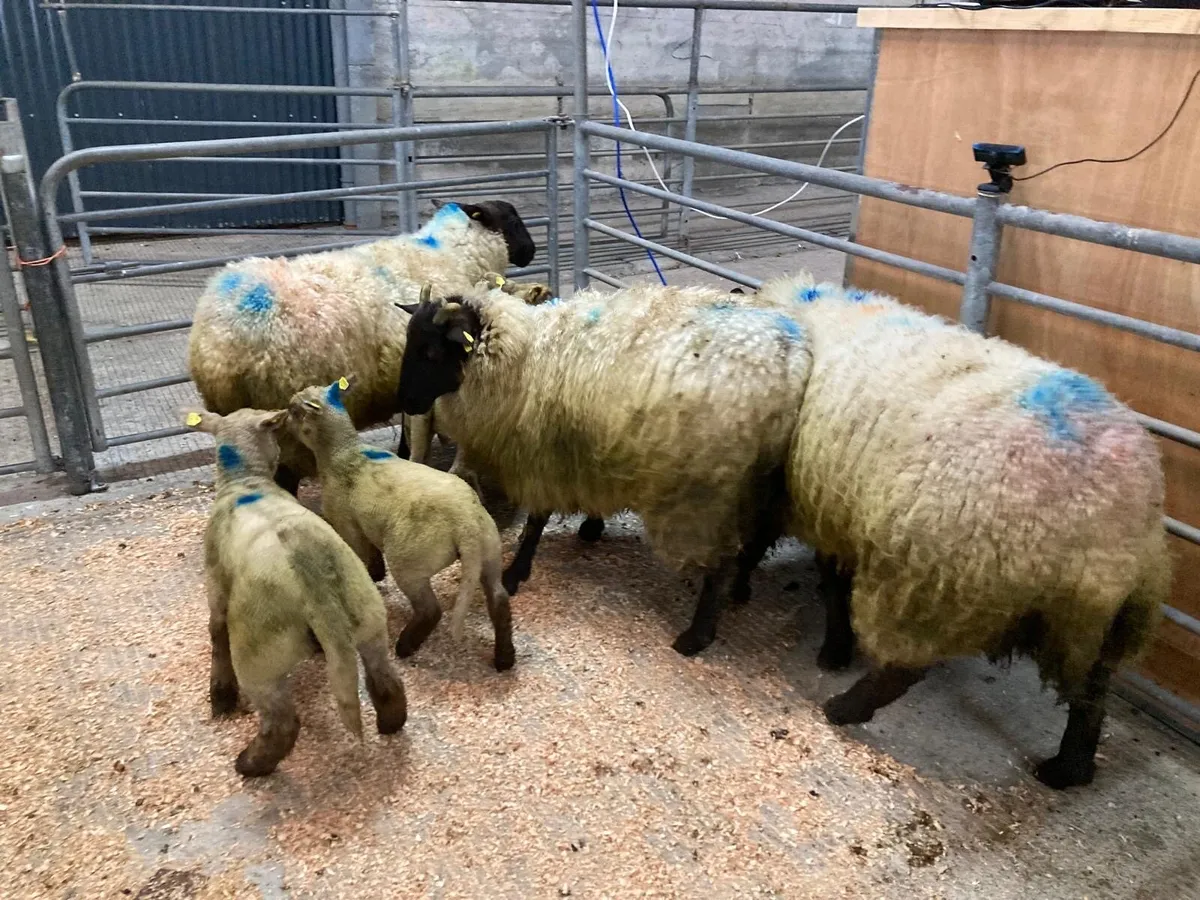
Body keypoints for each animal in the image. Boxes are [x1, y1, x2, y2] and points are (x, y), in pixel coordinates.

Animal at [185, 406, 407, 777]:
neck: (244, 480)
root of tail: (310, 570)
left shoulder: (215, 584)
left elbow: (215, 632)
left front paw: (221, 697)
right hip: (368, 616)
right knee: (385, 681)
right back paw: (391, 724)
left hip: (260, 655)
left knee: (281, 723)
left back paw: (250, 763)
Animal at [287, 375, 516, 671]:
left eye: (293, 409)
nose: (281, 416)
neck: (343, 451)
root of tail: (466, 522)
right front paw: (376, 574)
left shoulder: (349, 525)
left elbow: (364, 555)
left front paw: (372, 575)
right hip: (490, 553)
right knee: (499, 600)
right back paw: (505, 658)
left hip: (408, 561)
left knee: (430, 609)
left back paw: (405, 646)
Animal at [393, 281, 814, 656]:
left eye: (431, 352)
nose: (406, 403)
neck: (525, 355)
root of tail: (792, 363)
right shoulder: (585, 450)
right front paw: (592, 527)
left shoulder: (543, 455)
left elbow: (536, 520)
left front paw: (516, 573)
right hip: (761, 483)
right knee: (756, 540)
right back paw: (740, 590)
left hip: (710, 492)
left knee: (721, 561)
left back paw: (697, 635)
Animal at [754, 272, 1168, 789]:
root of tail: (1106, 518)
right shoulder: (840, 510)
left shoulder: (828, 509)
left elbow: (833, 584)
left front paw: (834, 651)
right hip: (1103, 621)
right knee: (1093, 691)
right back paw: (1067, 770)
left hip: (936, 579)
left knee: (904, 668)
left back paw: (843, 709)